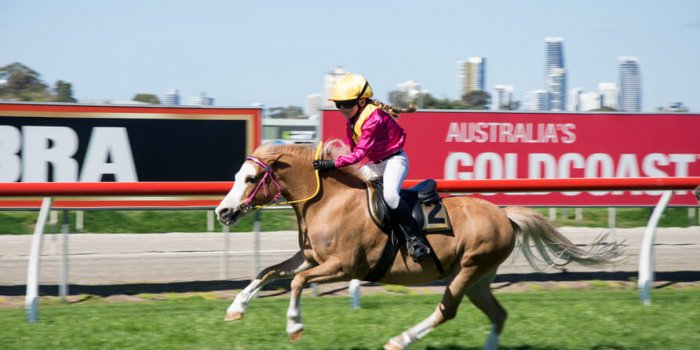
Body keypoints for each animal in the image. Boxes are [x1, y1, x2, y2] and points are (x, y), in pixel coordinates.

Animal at [215, 142, 624, 350]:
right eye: (236, 175)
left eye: (250, 178)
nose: (222, 211)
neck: (328, 200)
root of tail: (504, 214)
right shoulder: (310, 257)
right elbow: (269, 271)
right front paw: (235, 309)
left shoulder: (343, 266)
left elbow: (297, 283)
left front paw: (294, 326)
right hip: (479, 277)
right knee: (497, 315)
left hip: (468, 271)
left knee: (447, 311)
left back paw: (401, 339)